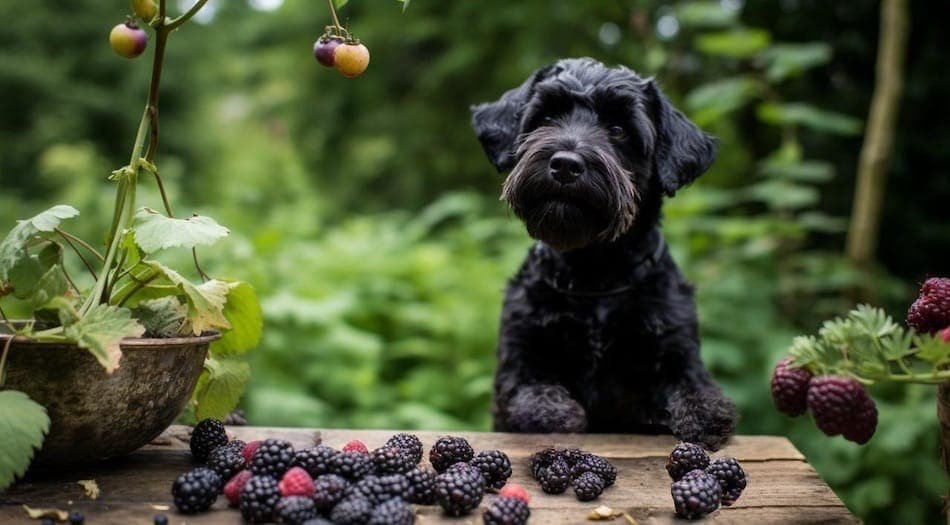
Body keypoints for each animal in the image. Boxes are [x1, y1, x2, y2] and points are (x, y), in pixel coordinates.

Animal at [472, 58, 740, 450]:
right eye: (546, 117)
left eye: (618, 130)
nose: (565, 164)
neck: (593, 272)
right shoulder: (515, 364)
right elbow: (531, 395)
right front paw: (557, 413)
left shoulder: (679, 349)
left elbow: (696, 389)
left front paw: (701, 412)